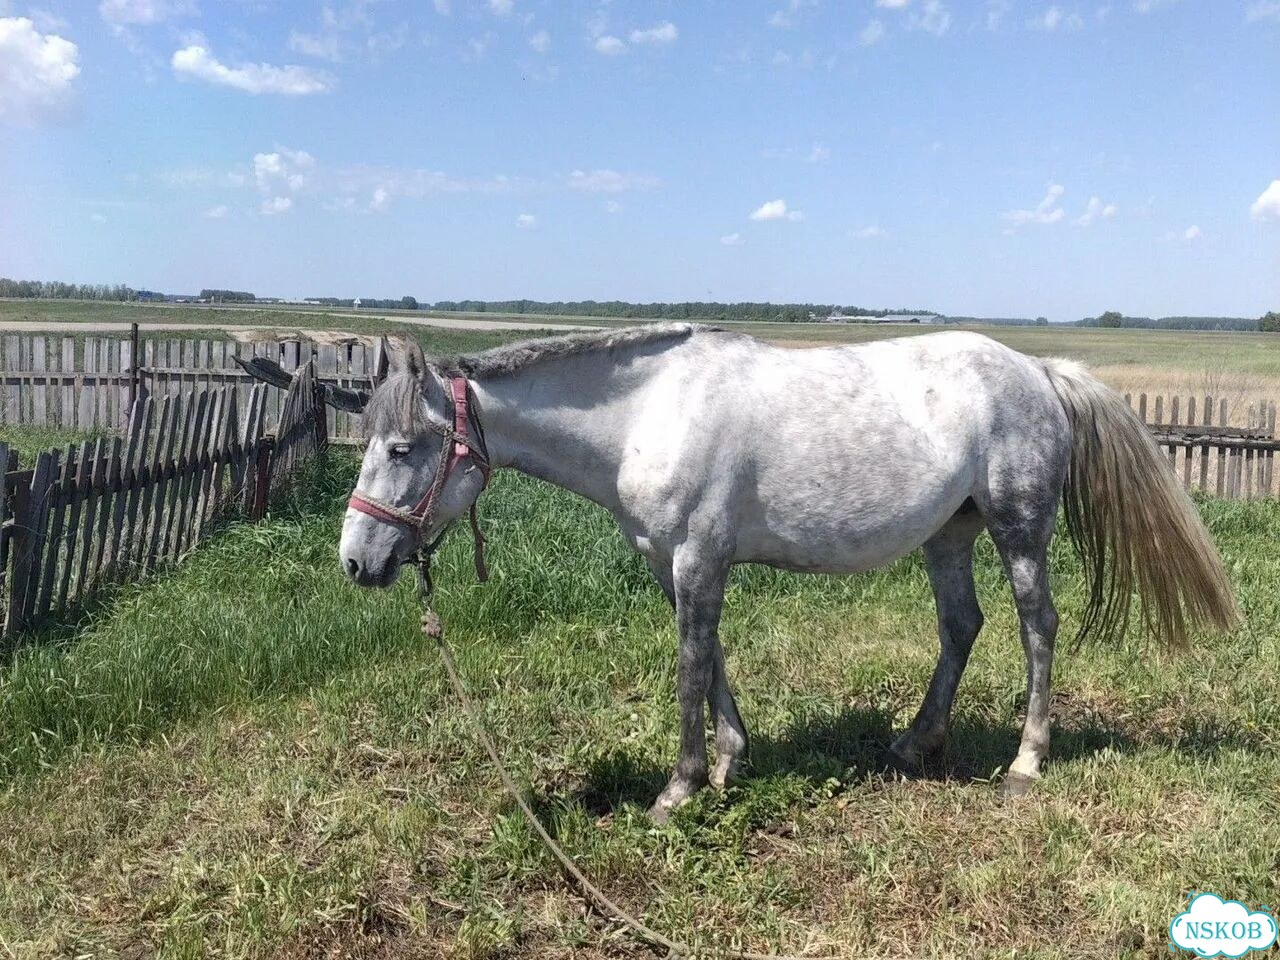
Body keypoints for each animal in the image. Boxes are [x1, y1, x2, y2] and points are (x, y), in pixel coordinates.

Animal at [337, 323, 1238, 820]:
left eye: (402, 448)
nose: (356, 560)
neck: (647, 413)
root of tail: (1039, 371)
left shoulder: (698, 557)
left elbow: (689, 665)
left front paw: (678, 790)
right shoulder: (673, 561)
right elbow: (711, 659)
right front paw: (730, 761)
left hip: (1019, 531)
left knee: (1036, 629)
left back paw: (1025, 761)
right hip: (949, 536)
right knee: (962, 627)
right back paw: (915, 743)